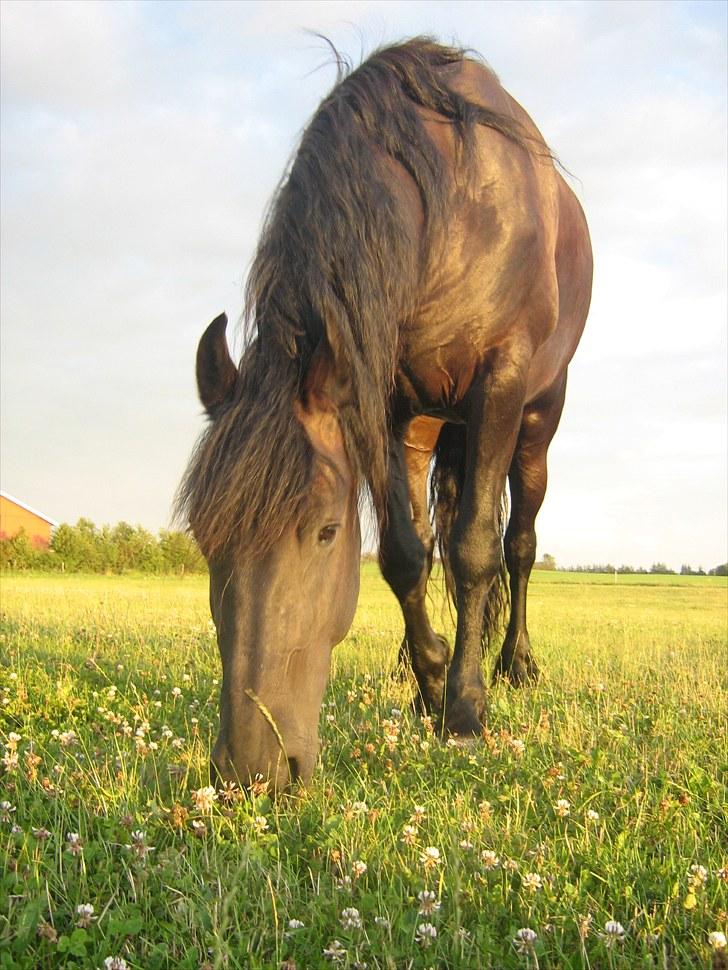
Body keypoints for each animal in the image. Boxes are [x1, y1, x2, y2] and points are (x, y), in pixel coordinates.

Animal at [176, 41, 592, 792]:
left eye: (325, 531)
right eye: (203, 535)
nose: (250, 770)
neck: (453, 205)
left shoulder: (501, 381)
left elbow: (479, 548)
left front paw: (464, 711)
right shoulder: (387, 402)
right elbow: (404, 554)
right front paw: (431, 686)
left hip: (536, 423)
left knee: (517, 544)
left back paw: (513, 662)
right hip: (429, 427)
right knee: (436, 539)